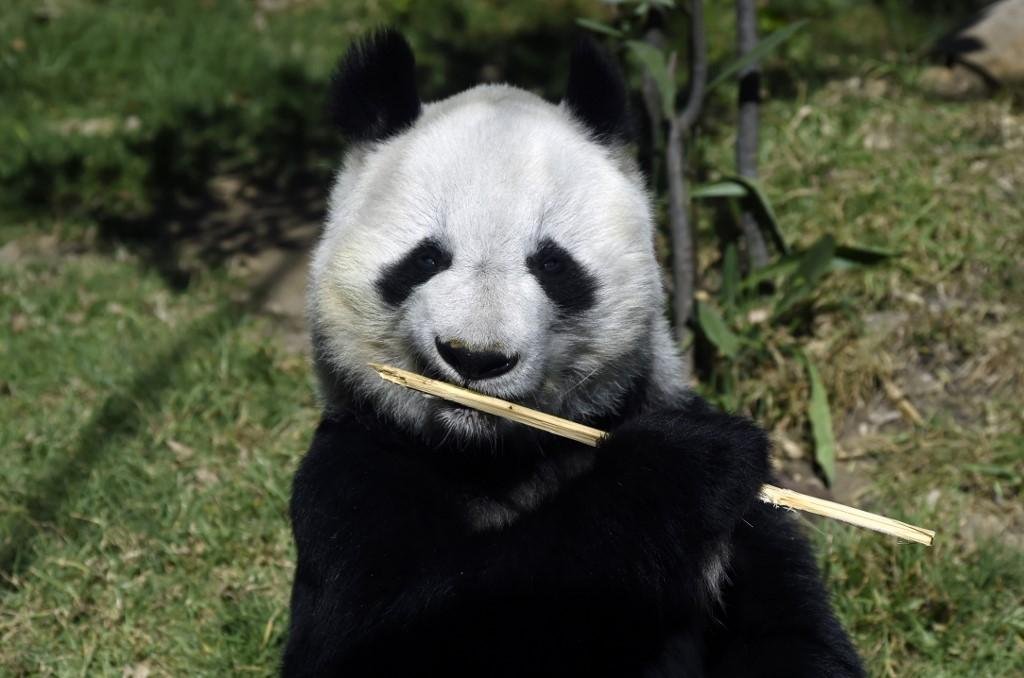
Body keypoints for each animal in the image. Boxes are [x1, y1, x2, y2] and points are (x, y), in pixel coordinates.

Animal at [284, 29, 864, 677]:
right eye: (427, 258)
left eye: (551, 264)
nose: (476, 357)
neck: (492, 455)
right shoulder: (353, 474)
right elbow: (394, 637)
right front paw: (685, 465)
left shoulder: (738, 514)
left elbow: (788, 629)